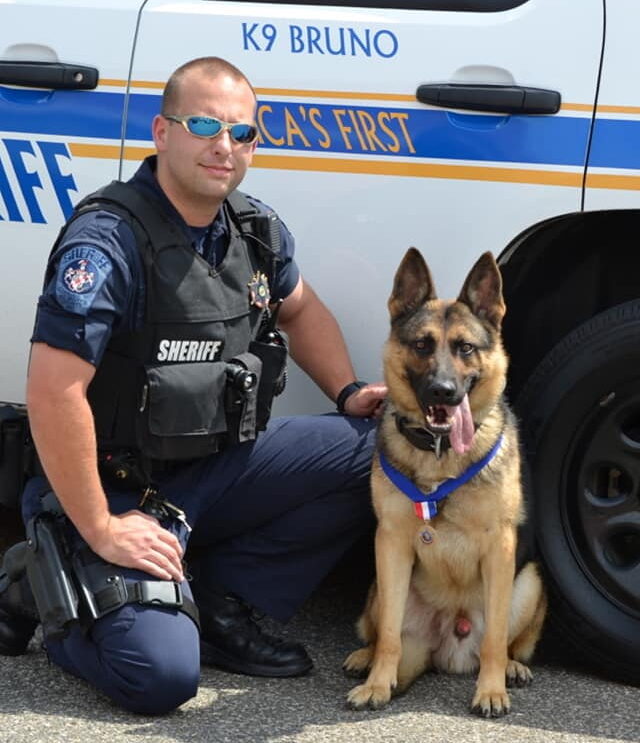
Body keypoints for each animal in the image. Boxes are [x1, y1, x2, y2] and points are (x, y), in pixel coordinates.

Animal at [344, 251, 544, 720]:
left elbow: (494, 641)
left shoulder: (500, 547)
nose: (443, 391)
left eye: (465, 348)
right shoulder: (391, 543)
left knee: (506, 641)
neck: (439, 454)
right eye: (422, 345)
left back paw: (510, 668)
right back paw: (368, 662)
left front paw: (490, 690)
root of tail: (447, 648)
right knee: (381, 632)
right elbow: (389, 637)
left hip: (528, 582)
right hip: (381, 584)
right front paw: (377, 683)